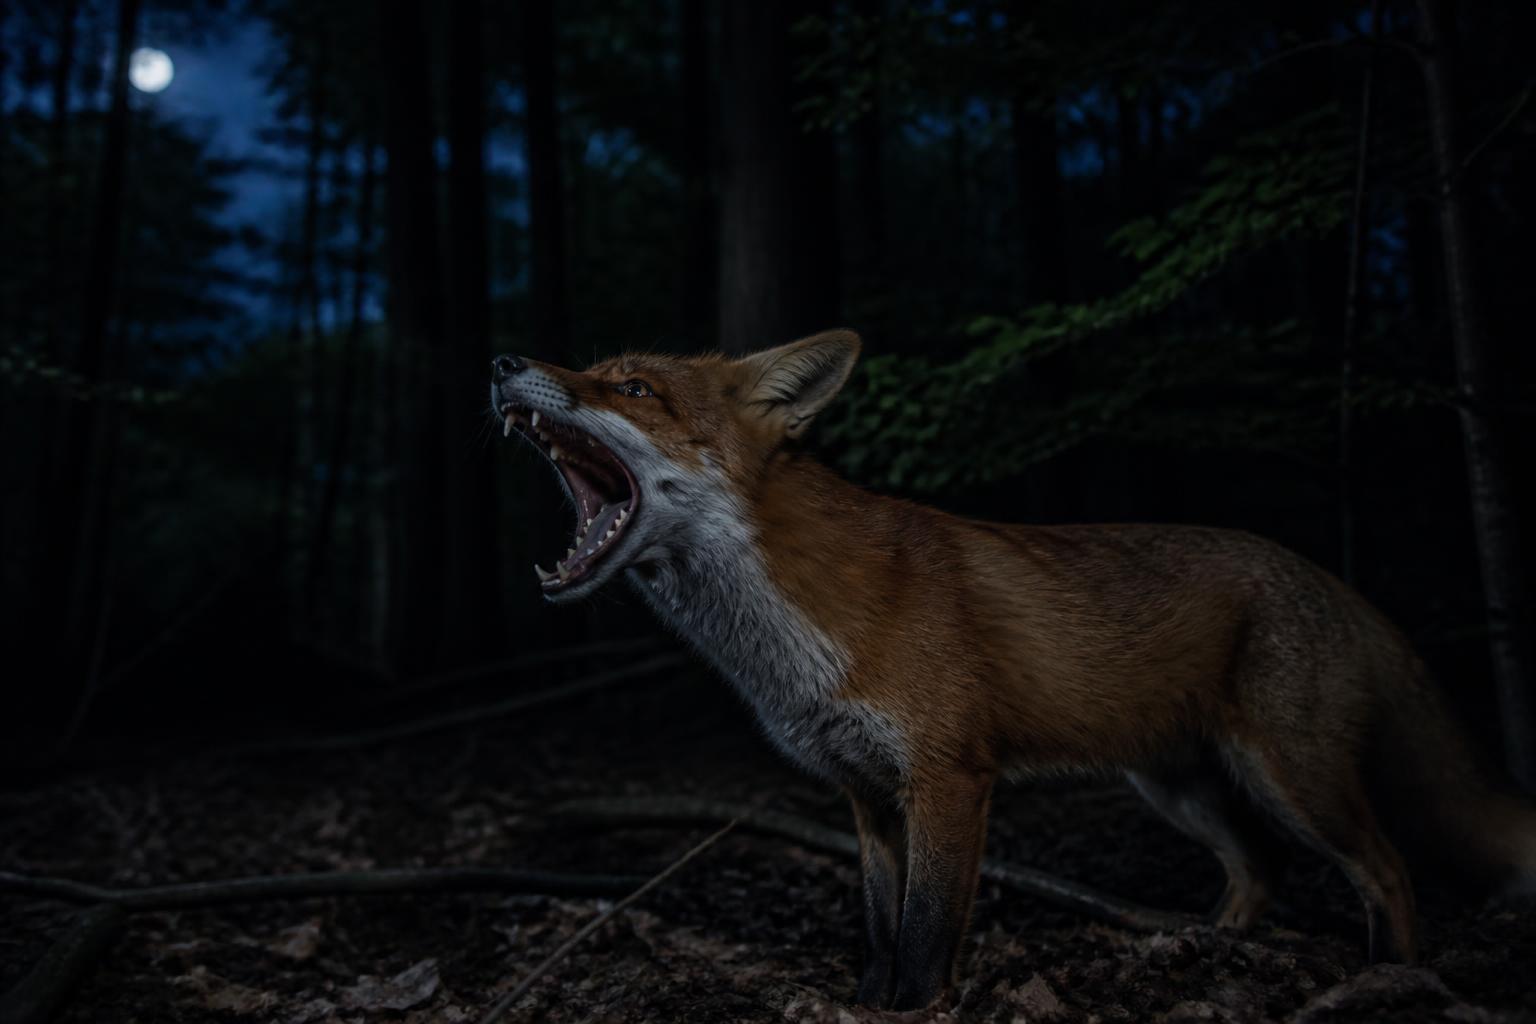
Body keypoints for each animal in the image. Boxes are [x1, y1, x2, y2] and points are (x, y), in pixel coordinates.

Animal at [489, 329, 1536, 1011]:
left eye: (633, 389)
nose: (502, 362)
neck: (785, 634)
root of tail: (1332, 579)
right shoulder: (866, 794)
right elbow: (877, 930)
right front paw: (866, 1005)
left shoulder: (950, 779)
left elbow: (923, 938)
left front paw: (918, 1010)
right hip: (1179, 788)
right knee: (1261, 871)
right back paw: (1211, 949)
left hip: (1293, 779)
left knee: (1389, 869)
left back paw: (1390, 977)